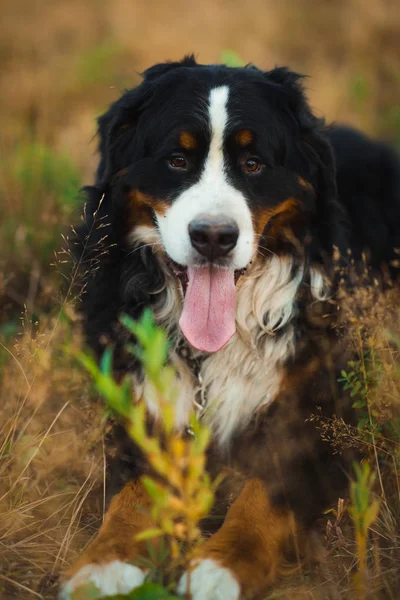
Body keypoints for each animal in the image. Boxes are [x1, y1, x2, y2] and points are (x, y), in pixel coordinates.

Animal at [59, 56, 400, 600]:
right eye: (177, 160)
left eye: (254, 164)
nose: (214, 237)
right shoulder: (138, 400)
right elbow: (134, 490)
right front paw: (103, 564)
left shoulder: (326, 416)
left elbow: (267, 490)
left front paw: (222, 566)